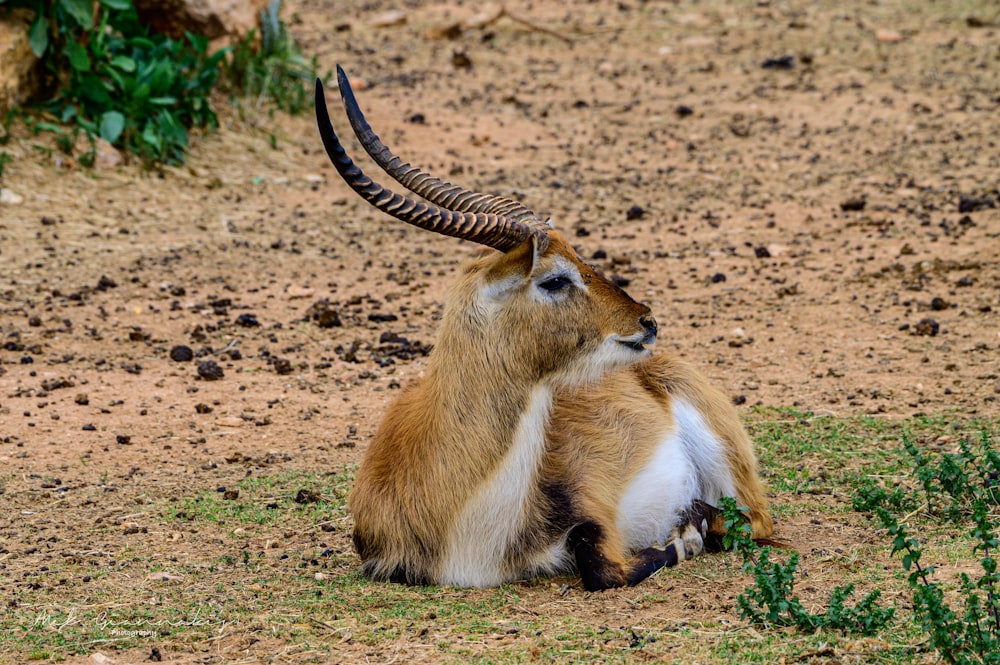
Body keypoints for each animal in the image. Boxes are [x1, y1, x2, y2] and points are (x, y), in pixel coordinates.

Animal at [316, 65, 768, 588]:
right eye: (555, 279)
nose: (647, 321)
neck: (461, 514)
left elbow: (602, 568)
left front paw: (684, 535)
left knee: (753, 521)